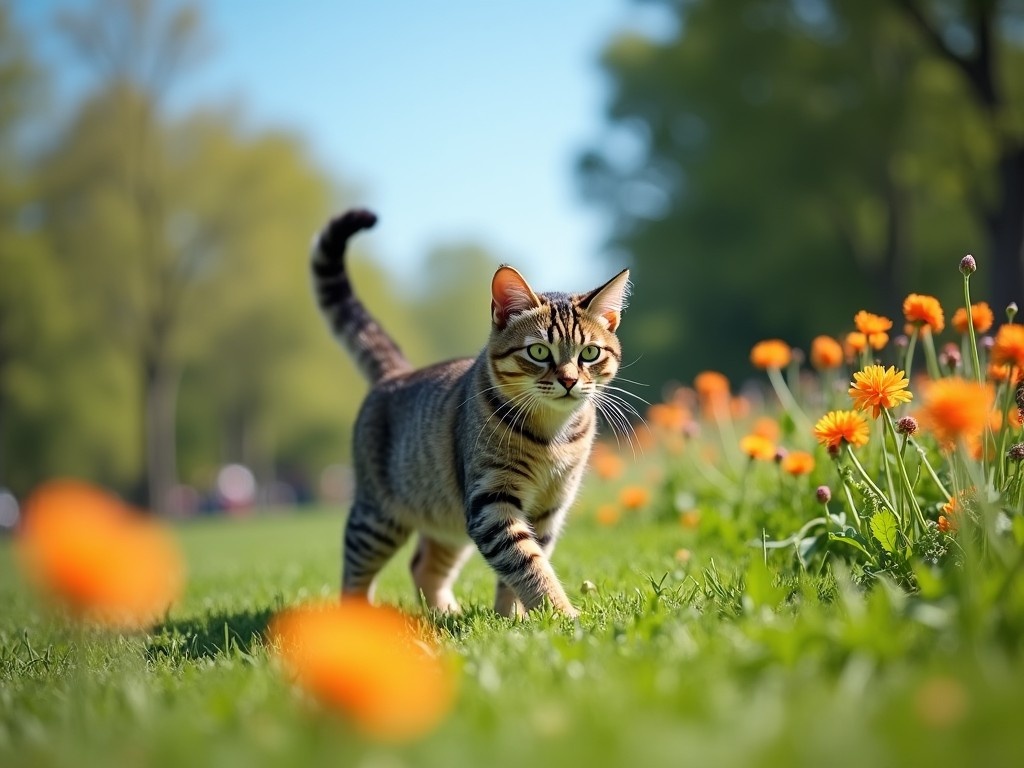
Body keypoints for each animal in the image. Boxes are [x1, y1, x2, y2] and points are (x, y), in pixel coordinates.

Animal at [311, 210, 630, 618]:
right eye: (539, 351)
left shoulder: (548, 508)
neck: (552, 433)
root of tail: (395, 374)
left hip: (447, 518)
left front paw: (516, 618)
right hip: (377, 518)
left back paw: (446, 613)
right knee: (355, 571)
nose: (570, 380)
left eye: (589, 353)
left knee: (423, 565)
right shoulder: (491, 500)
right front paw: (560, 615)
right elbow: (527, 563)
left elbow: (524, 566)